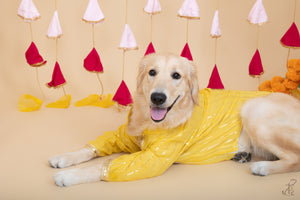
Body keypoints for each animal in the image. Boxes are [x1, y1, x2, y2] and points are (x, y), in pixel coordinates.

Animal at [48, 52, 300, 186]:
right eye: (152, 72)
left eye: (176, 76)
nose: (158, 97)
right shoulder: (125, 135)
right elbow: (93, 148)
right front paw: (65, 157)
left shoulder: (152, 159)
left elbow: (101, 165)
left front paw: (68, 175)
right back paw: (243, 155)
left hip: (253, 110)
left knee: (295, 159)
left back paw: (263, 167)